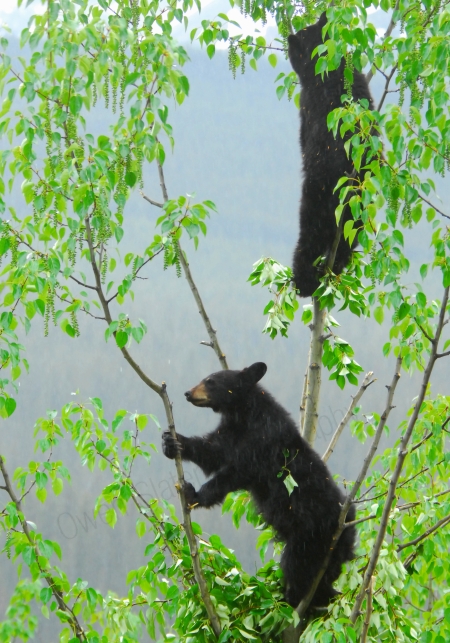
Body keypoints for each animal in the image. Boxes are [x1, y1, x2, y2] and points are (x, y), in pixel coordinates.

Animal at [162, 362, 356, 608]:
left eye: (211, 381)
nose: (188, 393)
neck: (244, 414)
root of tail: (348, 525)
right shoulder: (230, 432)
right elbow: (213, 451)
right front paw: (173, 441)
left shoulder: (262, 441)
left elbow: (234, 472)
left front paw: (193, 494)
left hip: (310, 536)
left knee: (297, 565)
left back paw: (296, 599)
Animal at [288, 12, 375, 297]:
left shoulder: (307, 108)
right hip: (359, 209)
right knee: (349, 238)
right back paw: (333, 267)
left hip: (317, 195)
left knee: (310, 235)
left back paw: (303, 279)